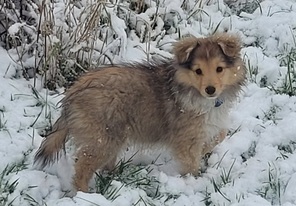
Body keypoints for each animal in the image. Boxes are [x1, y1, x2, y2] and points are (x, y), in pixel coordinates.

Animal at [34, 33, 247, 192]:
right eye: (198, 71)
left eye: (219, 69)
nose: (210, 90)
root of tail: (74, 91)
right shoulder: (186, 136)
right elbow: (191, 160)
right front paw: (193, 180)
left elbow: (220, 134)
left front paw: (205, 149)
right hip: (102, 138)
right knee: (82, 168)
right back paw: (85, 195)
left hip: (112, 136)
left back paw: (114, 175)